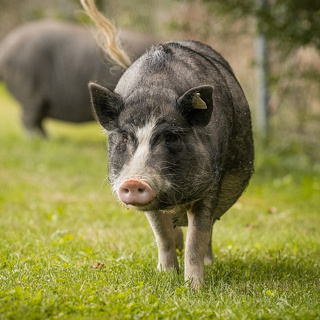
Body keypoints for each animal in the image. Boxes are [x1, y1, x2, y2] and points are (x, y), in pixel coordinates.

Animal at [0, 18, 154, 136]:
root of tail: (5, 47)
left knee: (36, 118)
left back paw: (48, 137)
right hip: (29, 86)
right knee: (28, 117)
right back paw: (37, 138)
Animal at [81, 0, 254, 288]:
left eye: (172, 136)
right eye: (125, 136)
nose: (134, 181)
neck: (156, 91)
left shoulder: (211, 184)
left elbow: (199, 235)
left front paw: (195, 288)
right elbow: (160, 234)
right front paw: (165, 275)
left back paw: (209, 264)